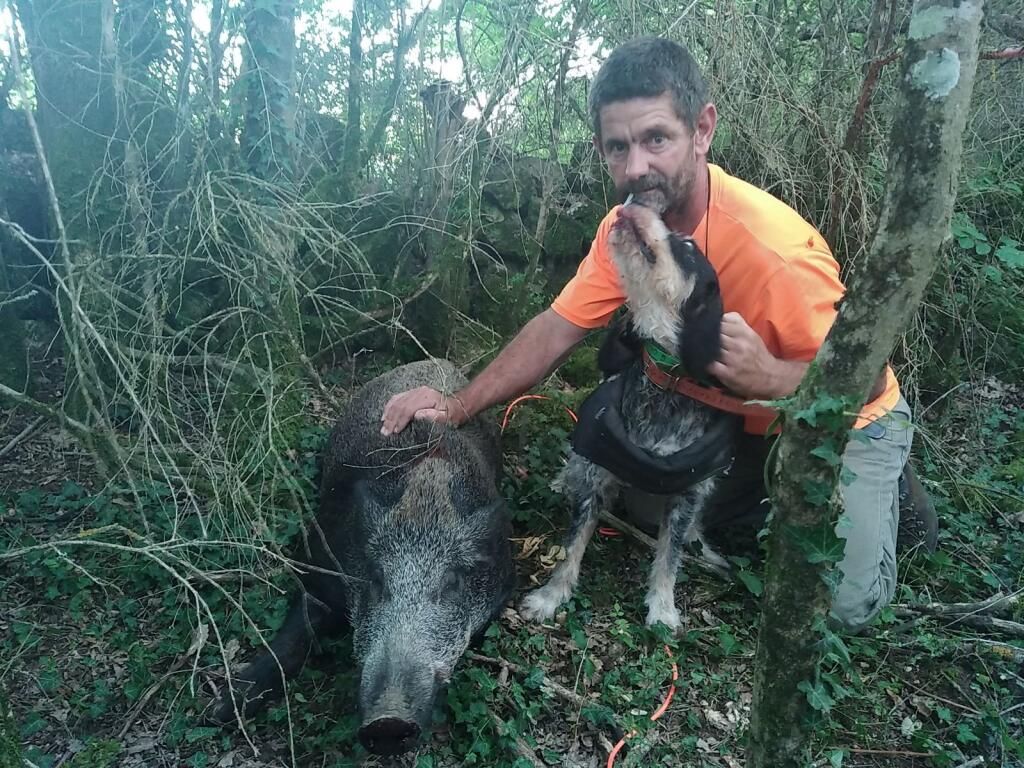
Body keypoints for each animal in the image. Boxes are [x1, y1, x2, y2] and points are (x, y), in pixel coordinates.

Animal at [520, 199, 737, 630]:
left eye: (687, 246)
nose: (635, 202)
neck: (663, 384)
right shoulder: (598, 474)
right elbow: (572, 545)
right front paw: (551, 597)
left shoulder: (686, 494)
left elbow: (670, 556)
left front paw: (663, 607)